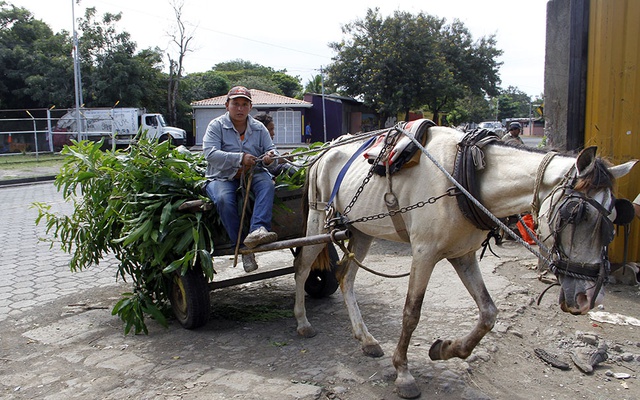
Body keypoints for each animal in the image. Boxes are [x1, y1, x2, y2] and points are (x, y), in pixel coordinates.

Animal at [292, 123, 636, 398]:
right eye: (574, 213)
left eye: (614, 218)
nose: (587, 299)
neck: (464, 176)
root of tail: (325, 150)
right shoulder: (424, 253)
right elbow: (411, 314)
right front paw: (403, 372)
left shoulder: (463, 254)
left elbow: (488, 313)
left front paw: (446, 349)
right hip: (317, 222)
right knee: (303, 269)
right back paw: (303, 322)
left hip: (362, 230)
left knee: (345, 276)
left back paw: (365, 339)